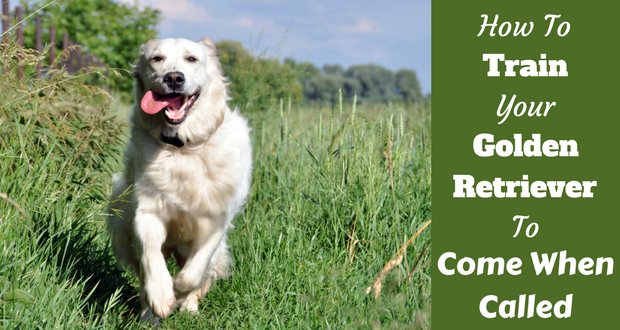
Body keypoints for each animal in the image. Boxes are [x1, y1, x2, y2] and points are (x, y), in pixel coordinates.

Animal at [106, 38, 252, 322]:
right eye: (156, 59)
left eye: (191, 59)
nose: (174, 78)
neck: (182, 147)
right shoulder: (147, 212)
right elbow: (151, 258)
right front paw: (162, 297)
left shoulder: (215, 220)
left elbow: (194, 273)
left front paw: (179, 293)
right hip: (122, 222)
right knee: (143, 276)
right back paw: (148, 316)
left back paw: (189, 308)